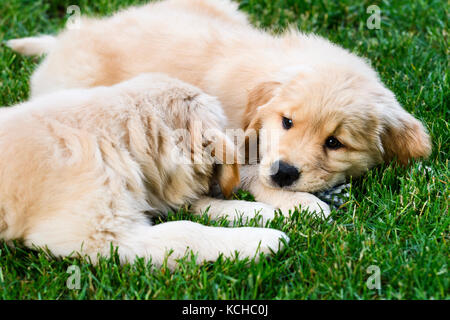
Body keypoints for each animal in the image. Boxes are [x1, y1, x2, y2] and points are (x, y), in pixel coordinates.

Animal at [0, 74, 288, 268]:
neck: (114, 137)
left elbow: (196, 205)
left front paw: (255, 211)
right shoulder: (100, 236)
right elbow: (185, 230)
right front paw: (260, 239)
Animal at [7, 0, 428, 220]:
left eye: (335, 143)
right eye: (287, 122)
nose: (285, 173)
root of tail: (66, 40)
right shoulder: (226, 149)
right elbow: (255, 176)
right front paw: (305, 203)